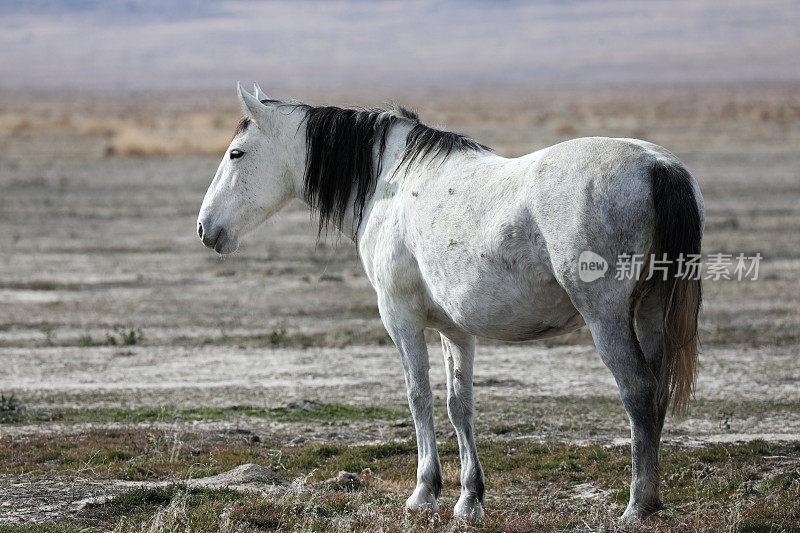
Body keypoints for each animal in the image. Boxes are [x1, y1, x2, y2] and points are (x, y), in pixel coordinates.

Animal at [197, 83, 704, 520]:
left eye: (236, 153)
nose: (205, 228)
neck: (391, 180)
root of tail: (658, 167)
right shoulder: (455, 330)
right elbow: (459, 405)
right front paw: (469, 497)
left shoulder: (400, 319)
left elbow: (417, 395)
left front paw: (425, 491)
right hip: (651, 313)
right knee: (656, 393)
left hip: (607, 318)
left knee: (638, 392)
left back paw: (637, 505)